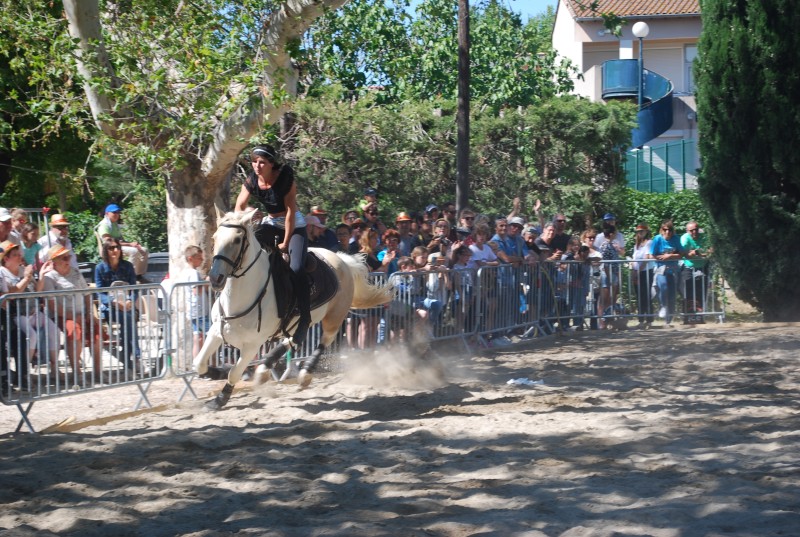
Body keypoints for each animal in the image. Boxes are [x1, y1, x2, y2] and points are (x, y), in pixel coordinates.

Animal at [194, 207, 394, 408]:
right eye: (214, 238)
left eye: (237, 240)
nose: (215, 278)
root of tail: (342, 259)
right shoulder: (216, 331)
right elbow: (199, 363)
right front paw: (214, 372)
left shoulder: (252, 344)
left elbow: (234, 372)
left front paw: (220, 399)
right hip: (303, 320)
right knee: (294, 338)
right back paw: (265, 368)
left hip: (334, 317)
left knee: (322, 341)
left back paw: (304, 374)